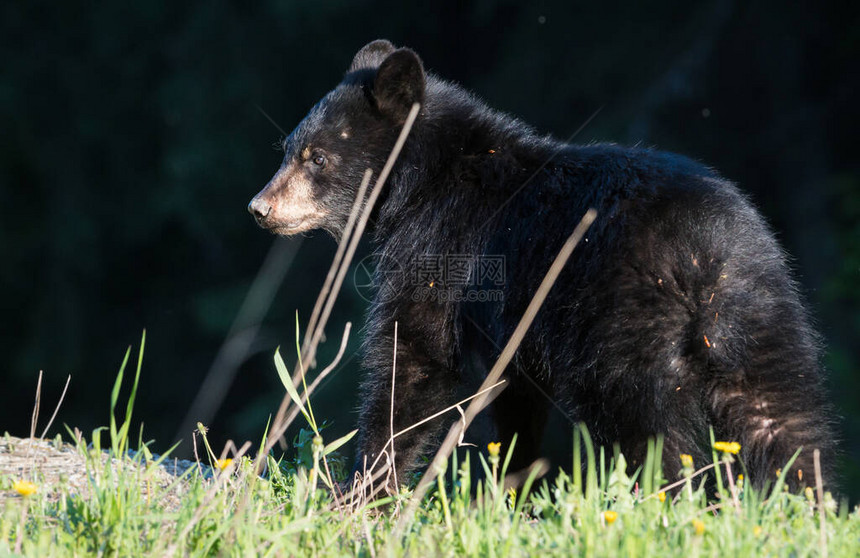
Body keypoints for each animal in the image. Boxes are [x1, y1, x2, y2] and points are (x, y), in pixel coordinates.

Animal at [247, 41, 832, 492]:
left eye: (317, 158)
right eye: (288, 147)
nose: (259, 208)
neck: (423, 179)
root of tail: (702, 250)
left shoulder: (443, 247)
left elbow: (414, 355)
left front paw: (362, 488)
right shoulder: (513, 326)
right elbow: (514, 397)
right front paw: (513, 488)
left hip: (624, 326)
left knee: (645, 428)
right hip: (763, 315)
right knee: (783, 419)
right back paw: (804, 503)